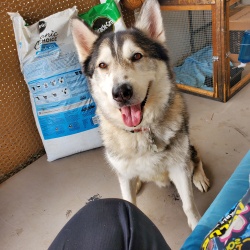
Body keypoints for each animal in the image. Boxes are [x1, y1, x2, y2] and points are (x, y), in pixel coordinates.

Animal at [71, 0, 210, 229]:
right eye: (102, 65)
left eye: (136, 56)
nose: (121, 93)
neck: (141, 132)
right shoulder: (124, 173)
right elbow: (129, 200)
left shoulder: (179, 168)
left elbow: (189, 205)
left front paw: (198, 226)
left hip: (187, 149)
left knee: (195, 158)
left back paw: (199, 177)